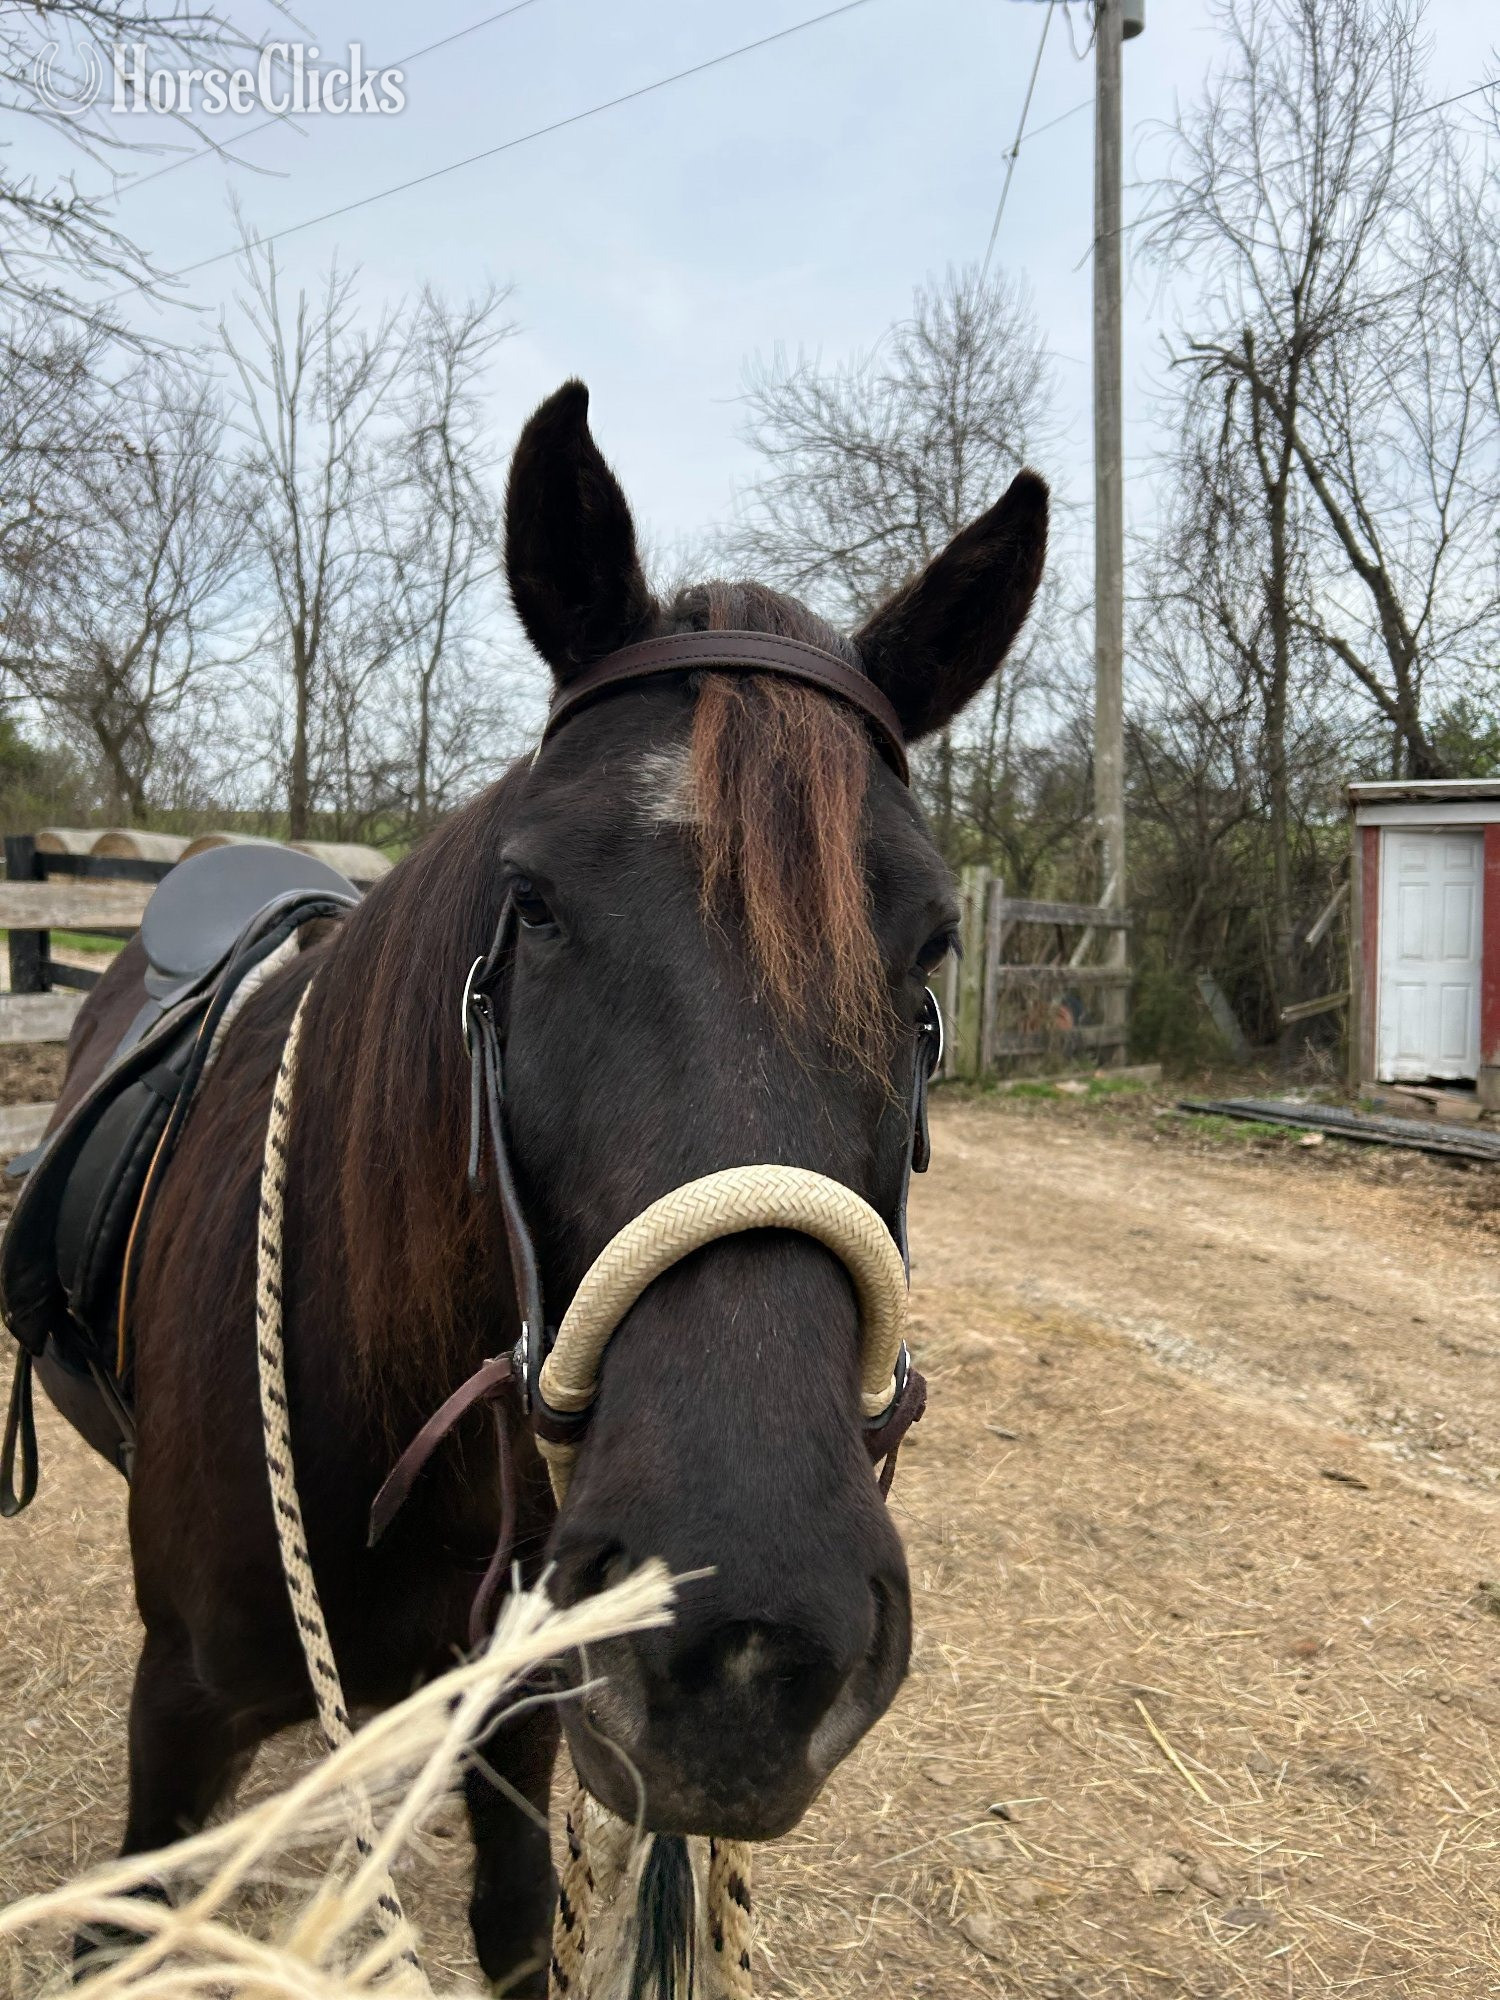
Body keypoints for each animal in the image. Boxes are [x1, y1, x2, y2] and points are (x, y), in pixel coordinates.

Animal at [50, 380, 1047, 1994]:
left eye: (934, 945)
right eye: (531, 902)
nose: (746, 1646)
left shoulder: (517, 1718)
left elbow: (519, 1922)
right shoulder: (178, 1713)